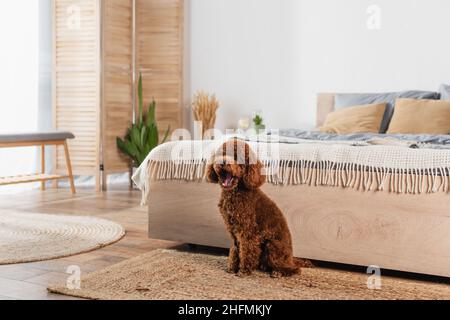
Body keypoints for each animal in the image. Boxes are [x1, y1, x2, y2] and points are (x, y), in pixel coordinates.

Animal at [207, 139, 312, 276]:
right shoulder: (233, 230)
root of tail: (291, 258)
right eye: (222, 154)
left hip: (272, 246)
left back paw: (278, 272)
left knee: (294, 269)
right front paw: (232, 268)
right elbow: (235, 249)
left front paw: (243, 271)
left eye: (238, 157)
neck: (236, 192)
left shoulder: (248, 230)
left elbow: (246, 249)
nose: (223, 162)